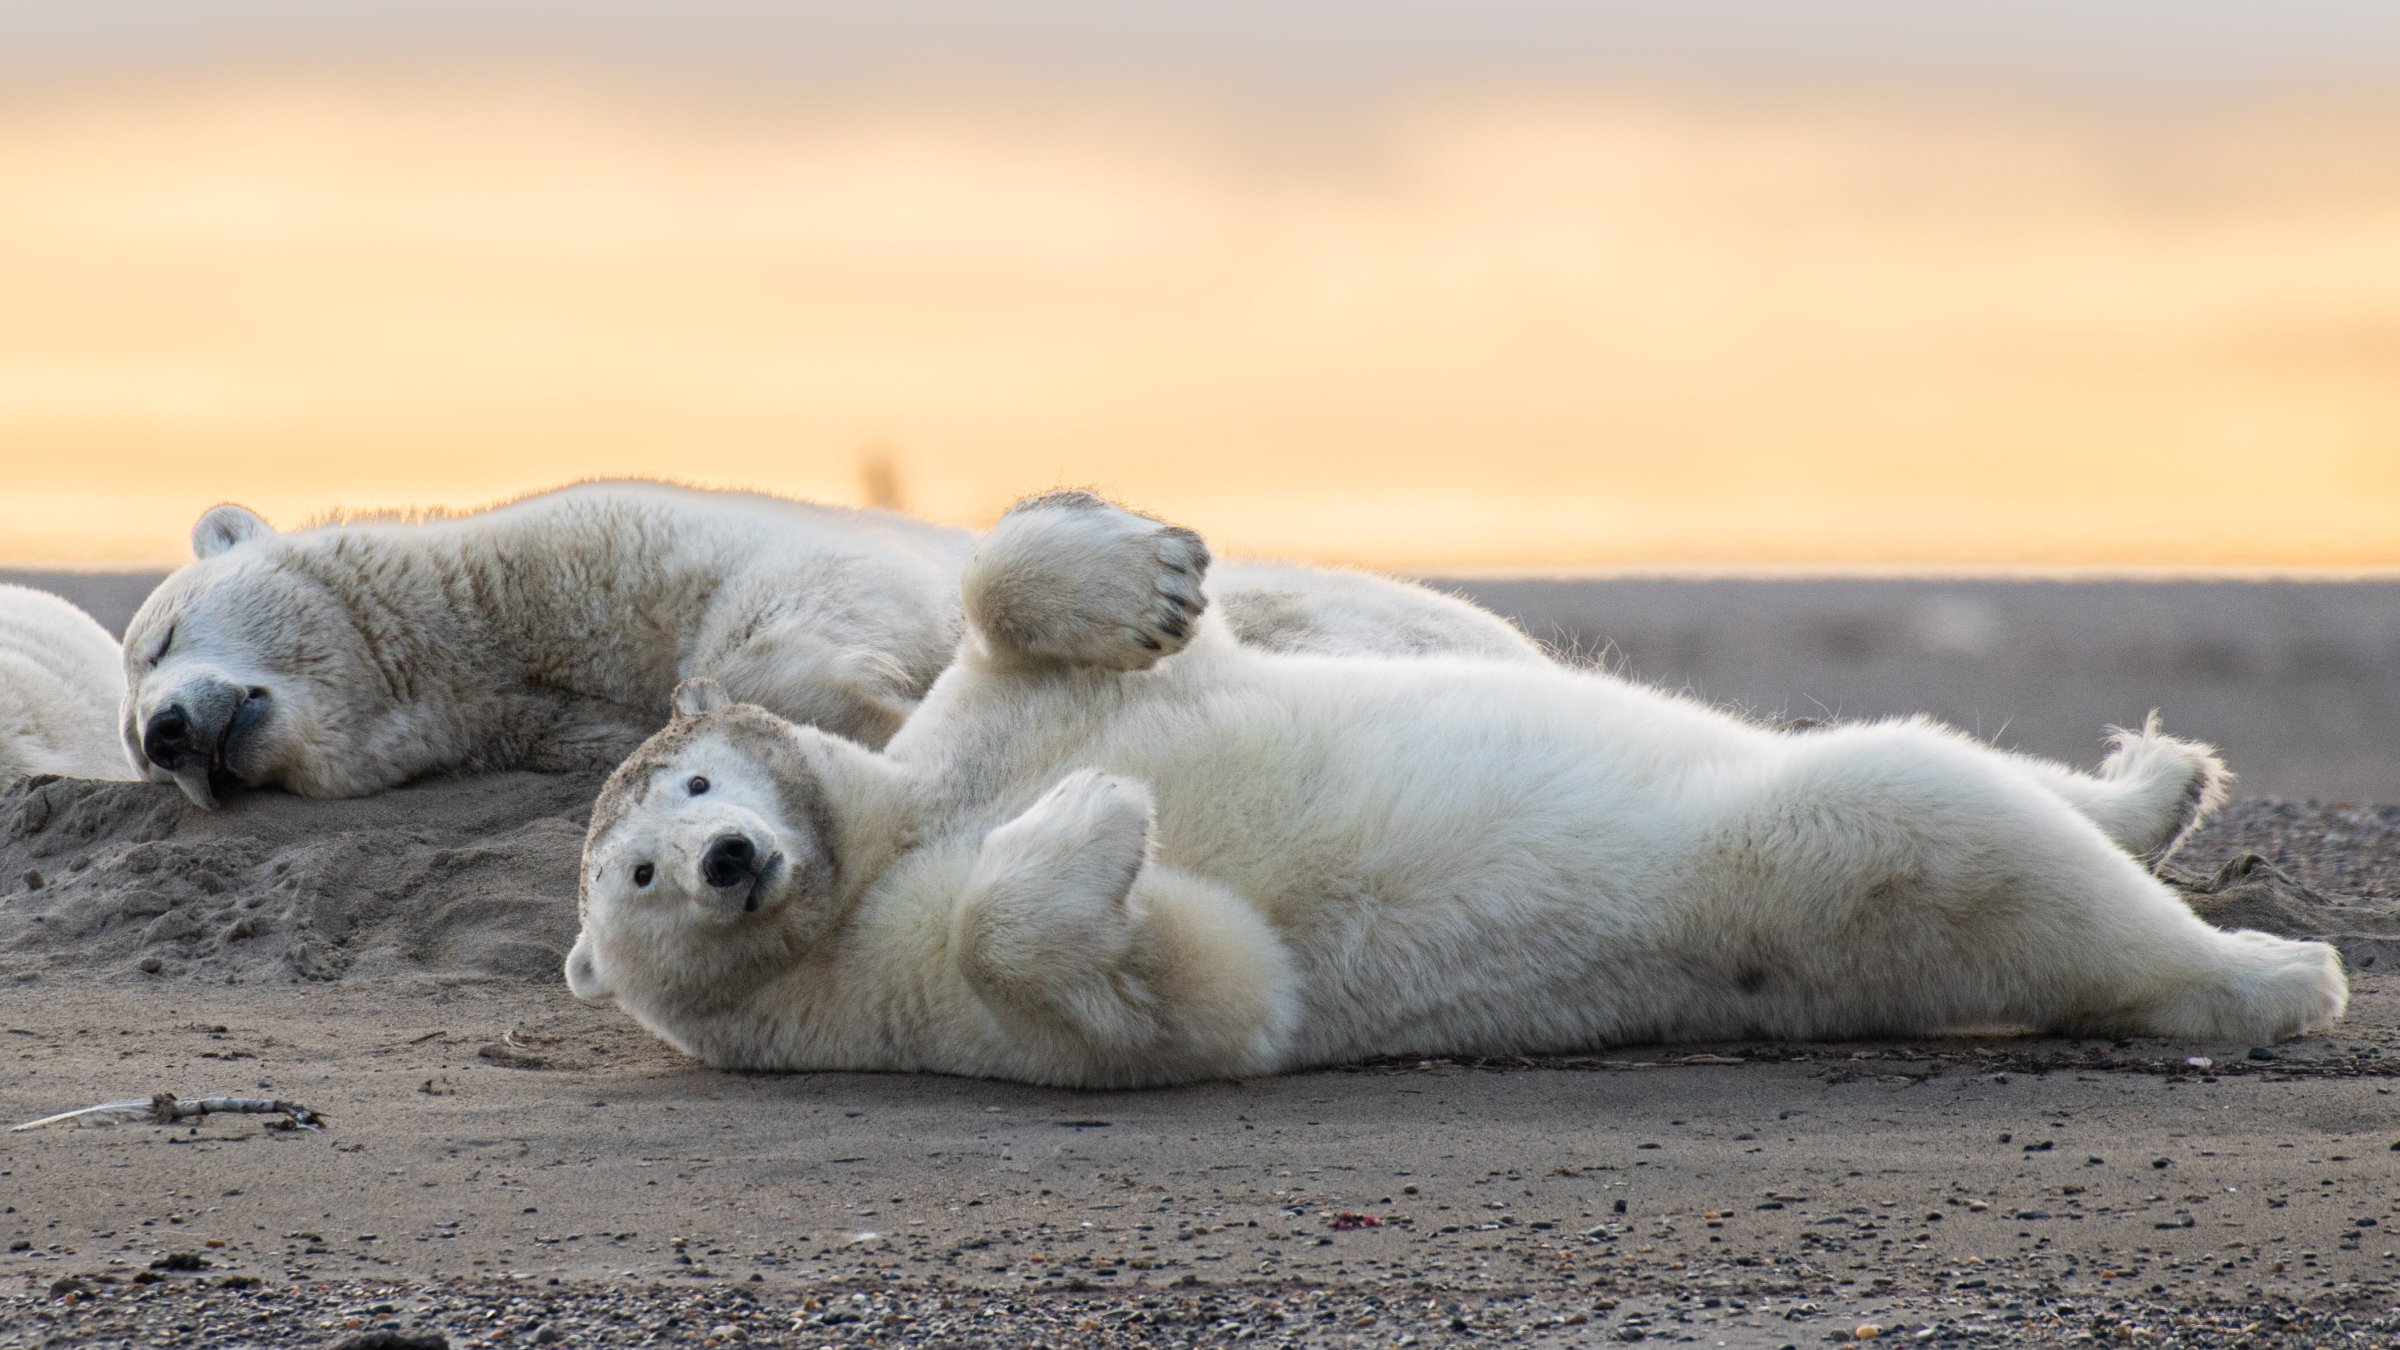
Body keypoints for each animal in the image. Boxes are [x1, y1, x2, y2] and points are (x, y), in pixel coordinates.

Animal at [562, 491, 2339, 1088]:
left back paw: (2157, 781)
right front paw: (1098, 825)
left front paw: (1150, 571)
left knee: (1960, 772)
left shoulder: (982, 723)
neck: (877, 848)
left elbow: (1027, 614)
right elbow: (1193, 993)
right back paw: (2265, 972)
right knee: (1930, 822)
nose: (724, 859)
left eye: (698, 776)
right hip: (1807, 892)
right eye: (631, 873)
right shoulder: (889, 1000)